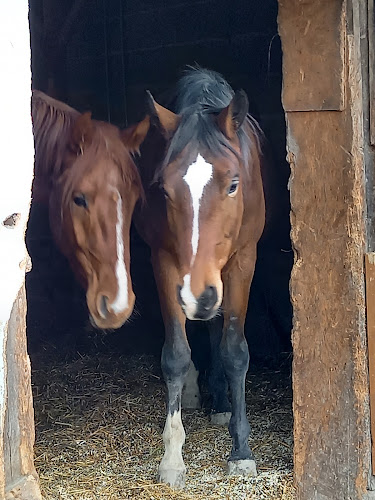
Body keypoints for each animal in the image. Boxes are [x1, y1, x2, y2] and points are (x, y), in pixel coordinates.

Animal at [137, 68, 266, 486]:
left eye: (233, 184)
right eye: (164, 189)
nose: (199, 295)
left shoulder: (242, 262)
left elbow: (235, 352)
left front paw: (241, 451)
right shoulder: (165, 264)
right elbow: (176, 355)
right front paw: (172, 455)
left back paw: (222, 404)